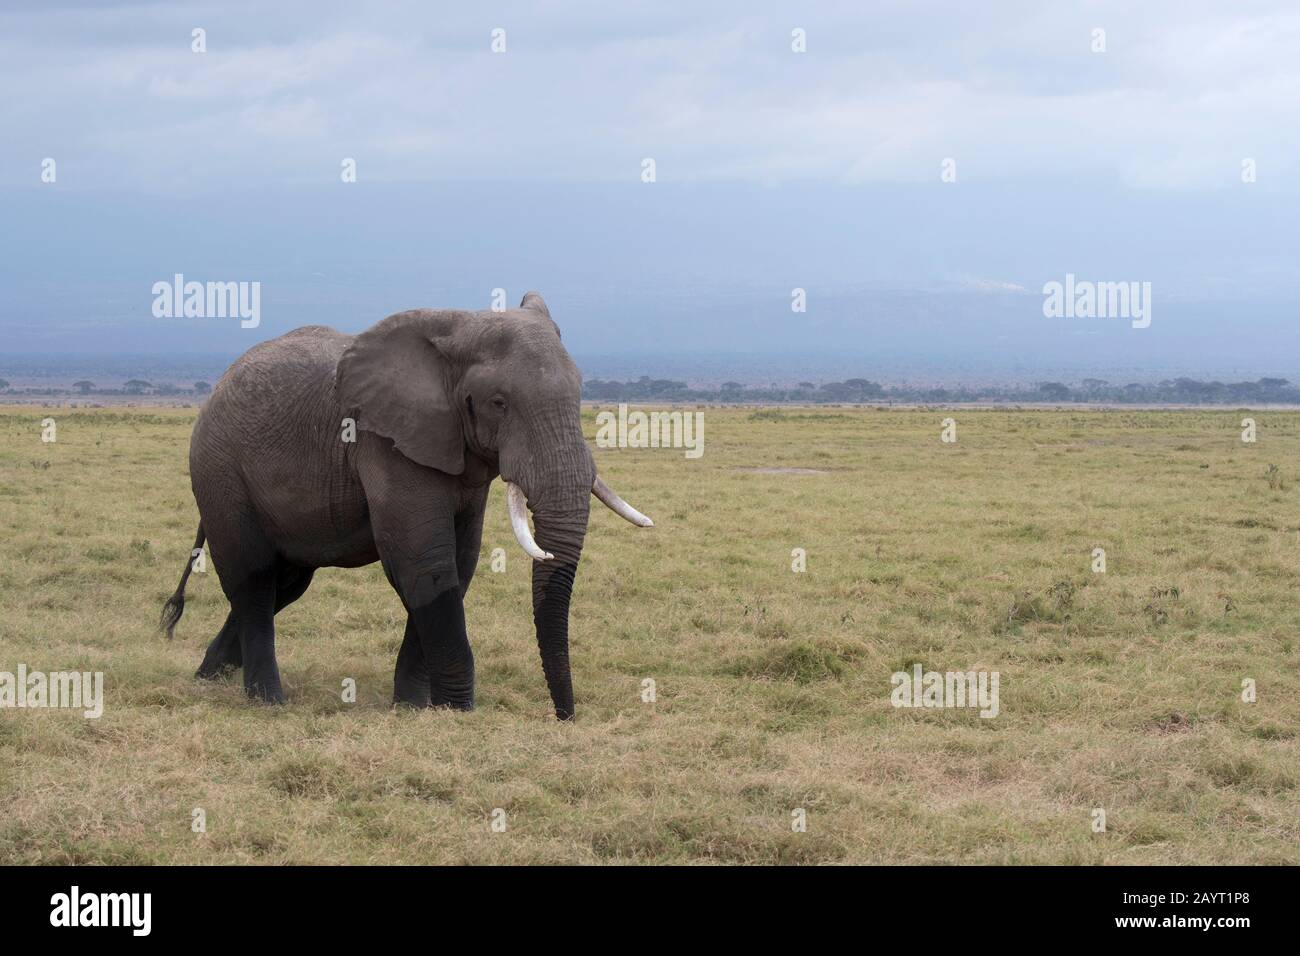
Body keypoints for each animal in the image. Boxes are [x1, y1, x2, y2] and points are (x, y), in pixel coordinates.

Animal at [158, 291, 655, 717]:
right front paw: (456, 710)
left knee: (285, 584)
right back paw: (268, 701)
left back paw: (208, 677)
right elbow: (425, 562)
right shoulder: (384, 440)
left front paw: (415, 707)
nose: (564, 716)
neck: (455, 334)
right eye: (499, 403)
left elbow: (460, 562)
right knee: (254, 579)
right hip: (219, 468)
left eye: (581, 392)